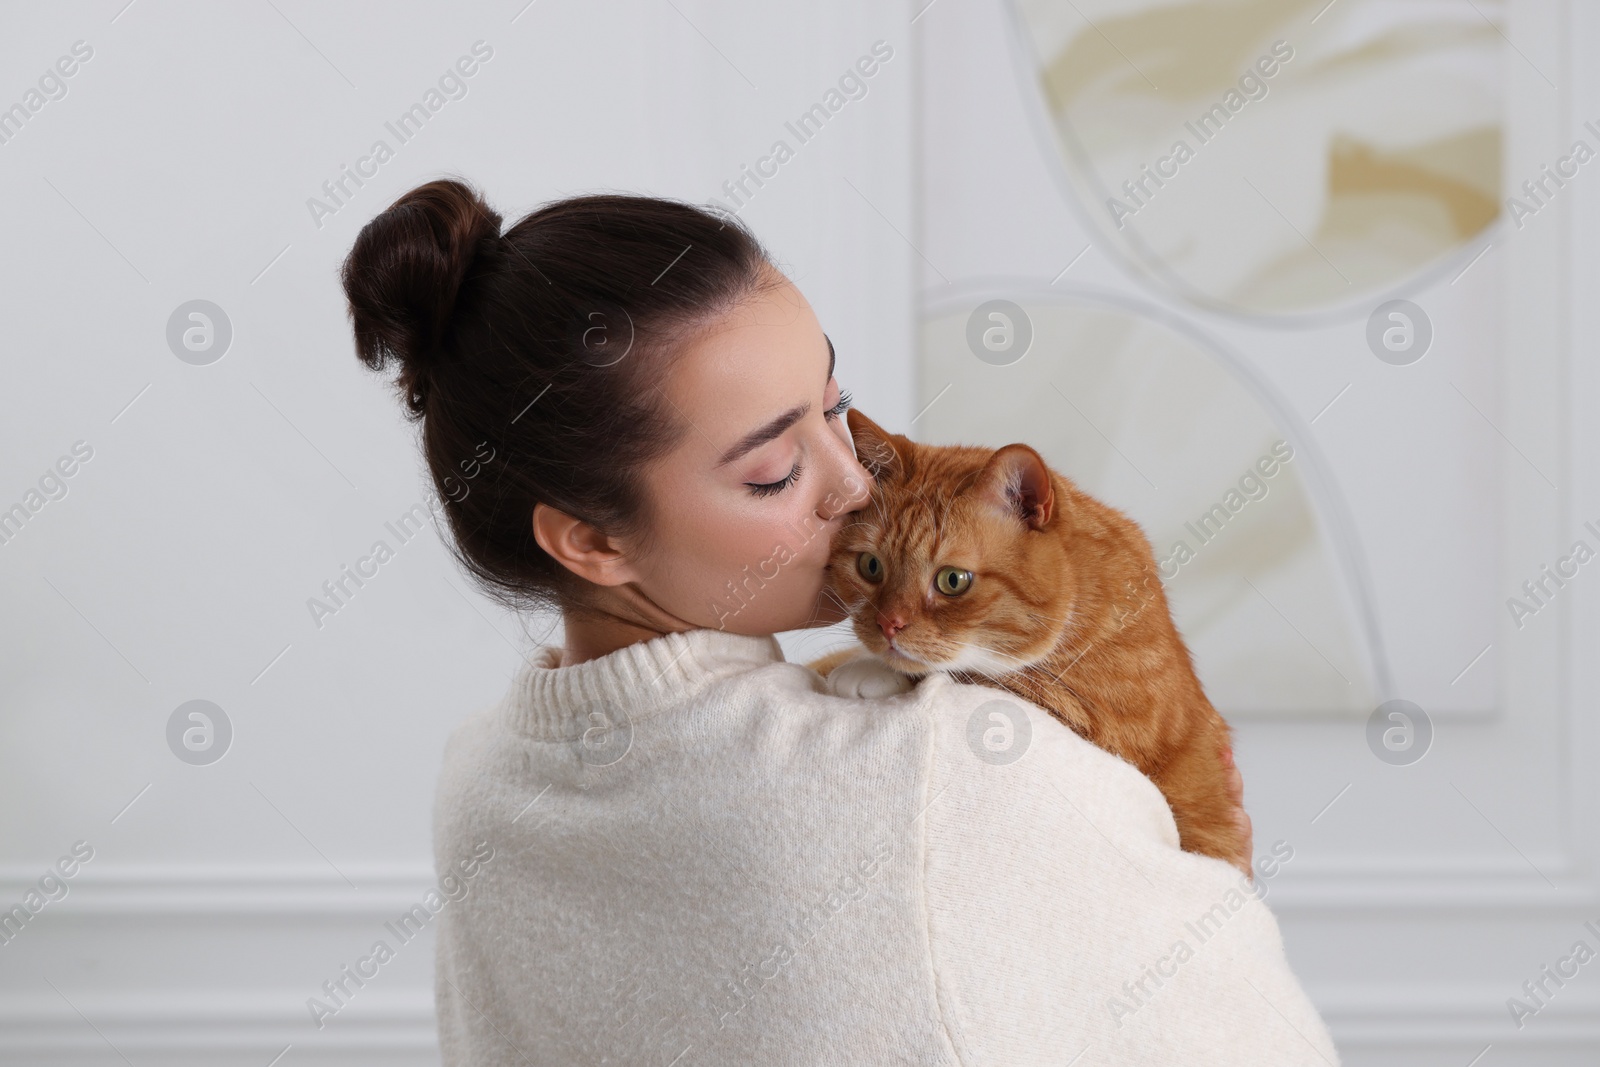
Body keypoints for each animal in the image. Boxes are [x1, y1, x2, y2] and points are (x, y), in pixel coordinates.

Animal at [812, 409, 1248, 876]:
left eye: (953, 580)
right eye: (870, 566)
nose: (888, 624)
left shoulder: (1108, 723)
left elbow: (980, 674)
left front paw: (866, 670)